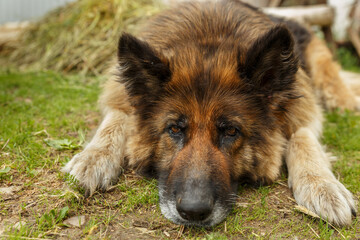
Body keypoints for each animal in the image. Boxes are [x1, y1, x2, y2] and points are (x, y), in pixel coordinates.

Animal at [63, 0, 358, 227]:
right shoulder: (119, 96)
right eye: (174, 129)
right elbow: (116, 118)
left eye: (230, 131)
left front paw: (323, 186)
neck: (208, 37)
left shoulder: (301, 109)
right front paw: (93, 158)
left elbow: (302, 138)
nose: (193, 213)